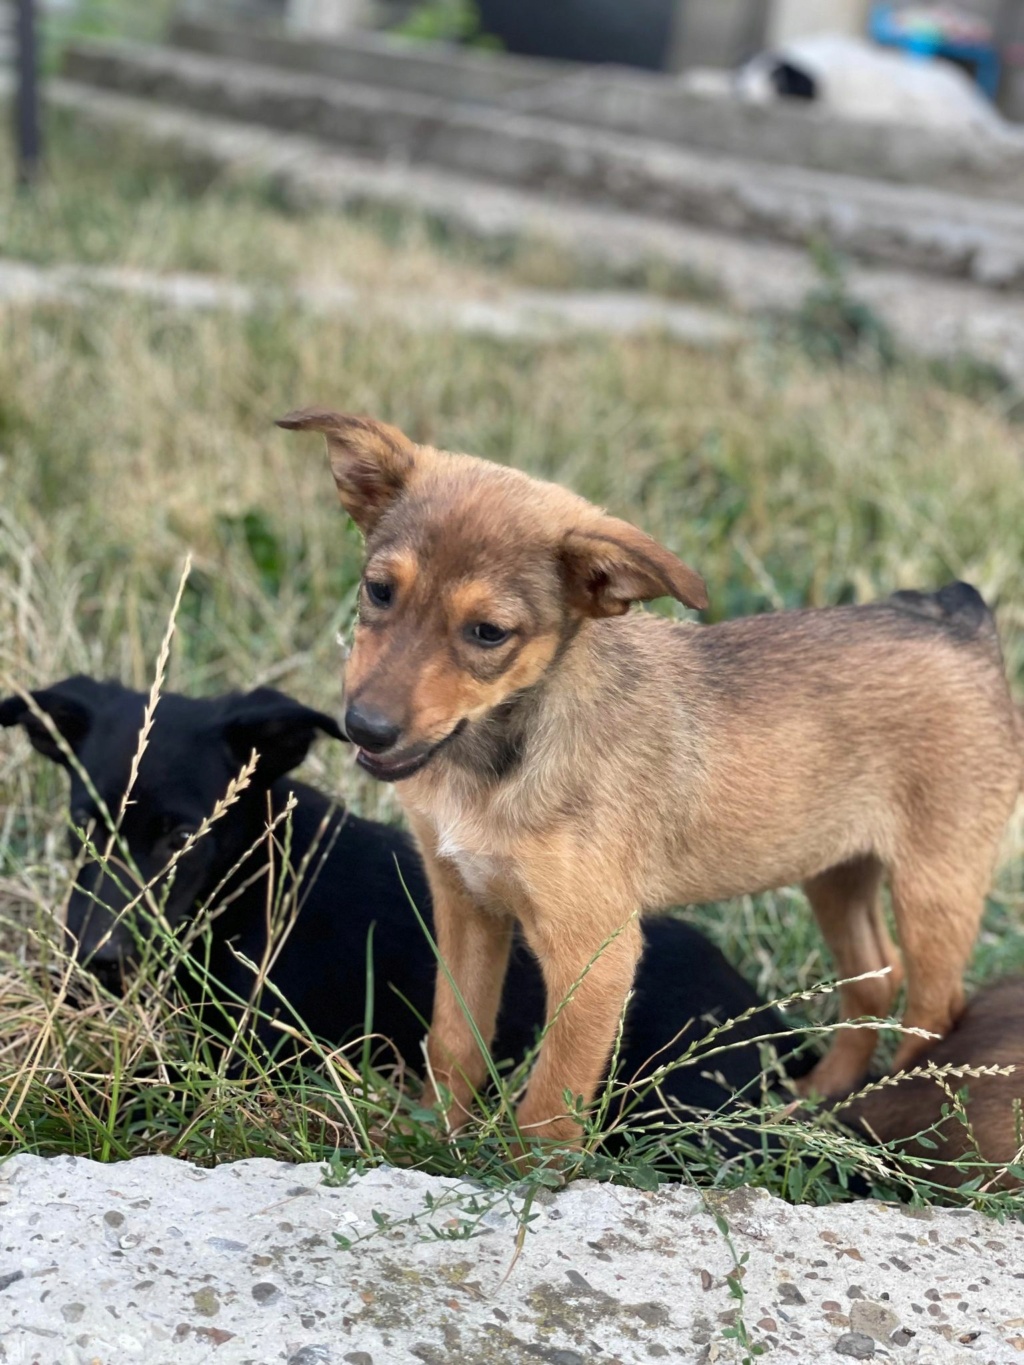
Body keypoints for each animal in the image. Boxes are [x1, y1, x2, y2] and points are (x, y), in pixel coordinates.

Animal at [2, 674, 802, 1141]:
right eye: (84, 823)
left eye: (180, 835)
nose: (98, 958)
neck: (255, 872)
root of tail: (770, 1022)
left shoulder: (257, 1055)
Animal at [277, 406, 1021, 1152]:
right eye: (379, 591)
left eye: (488, 632)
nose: (364, 728)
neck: (503, 751)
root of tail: (957, 615)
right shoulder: (466, 908)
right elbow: (454, 1040)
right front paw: (429, 1138)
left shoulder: (595, 954)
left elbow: (550, 1104)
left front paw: (518, 1173)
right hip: (835, 869)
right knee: (874, 979)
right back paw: (809, 1100)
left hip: (935, 886)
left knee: (932, 1012)